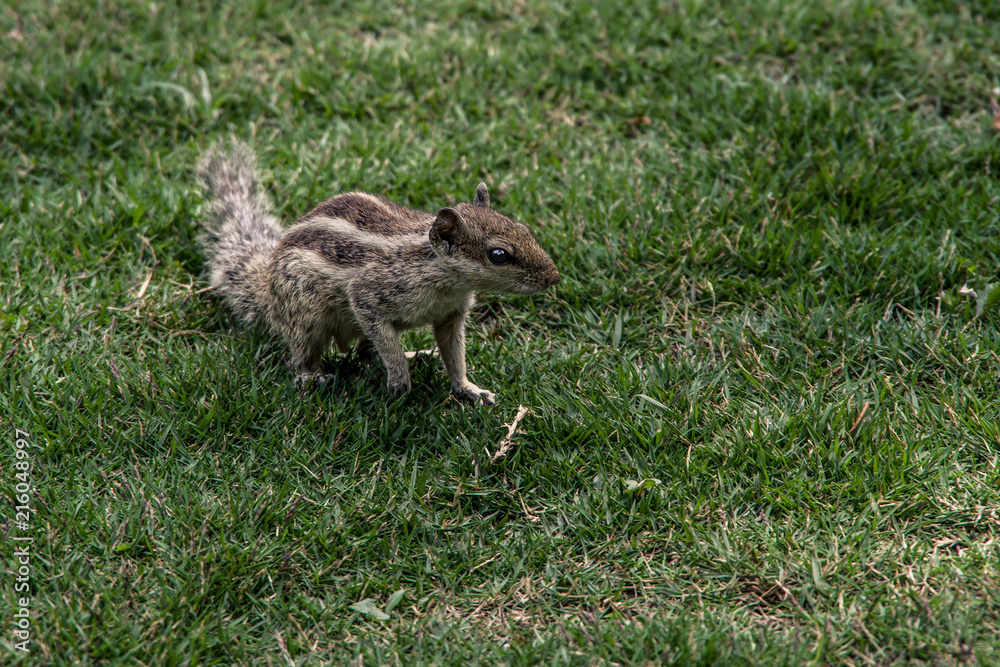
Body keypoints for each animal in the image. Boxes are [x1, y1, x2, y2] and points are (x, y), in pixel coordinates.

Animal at [196, 139, 560, 404]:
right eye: (499, 255)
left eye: (524, 229)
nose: (553, 277)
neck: (443, 278)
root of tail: (267, 287)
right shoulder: (370, 295)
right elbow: (384, 339)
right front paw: (399, 382)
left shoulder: (451, 315)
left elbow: (454, 354)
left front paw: (468, 389)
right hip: (304, 310)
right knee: (302, 353)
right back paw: (313, 374)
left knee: (365, 352)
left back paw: (417, 355)